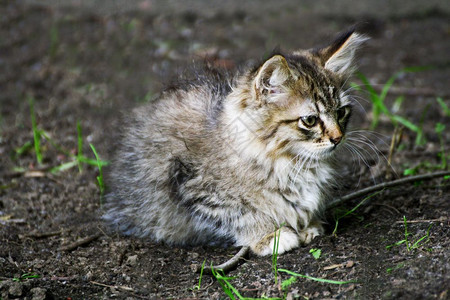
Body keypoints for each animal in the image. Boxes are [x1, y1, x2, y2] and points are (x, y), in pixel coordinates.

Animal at [103, 29, 368, 255]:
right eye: (310, 120)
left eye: (341, 112)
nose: (338, 138)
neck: (287, 161)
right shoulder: (191, 183)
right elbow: (242, 214)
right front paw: (269, 236)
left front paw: (307, 226)